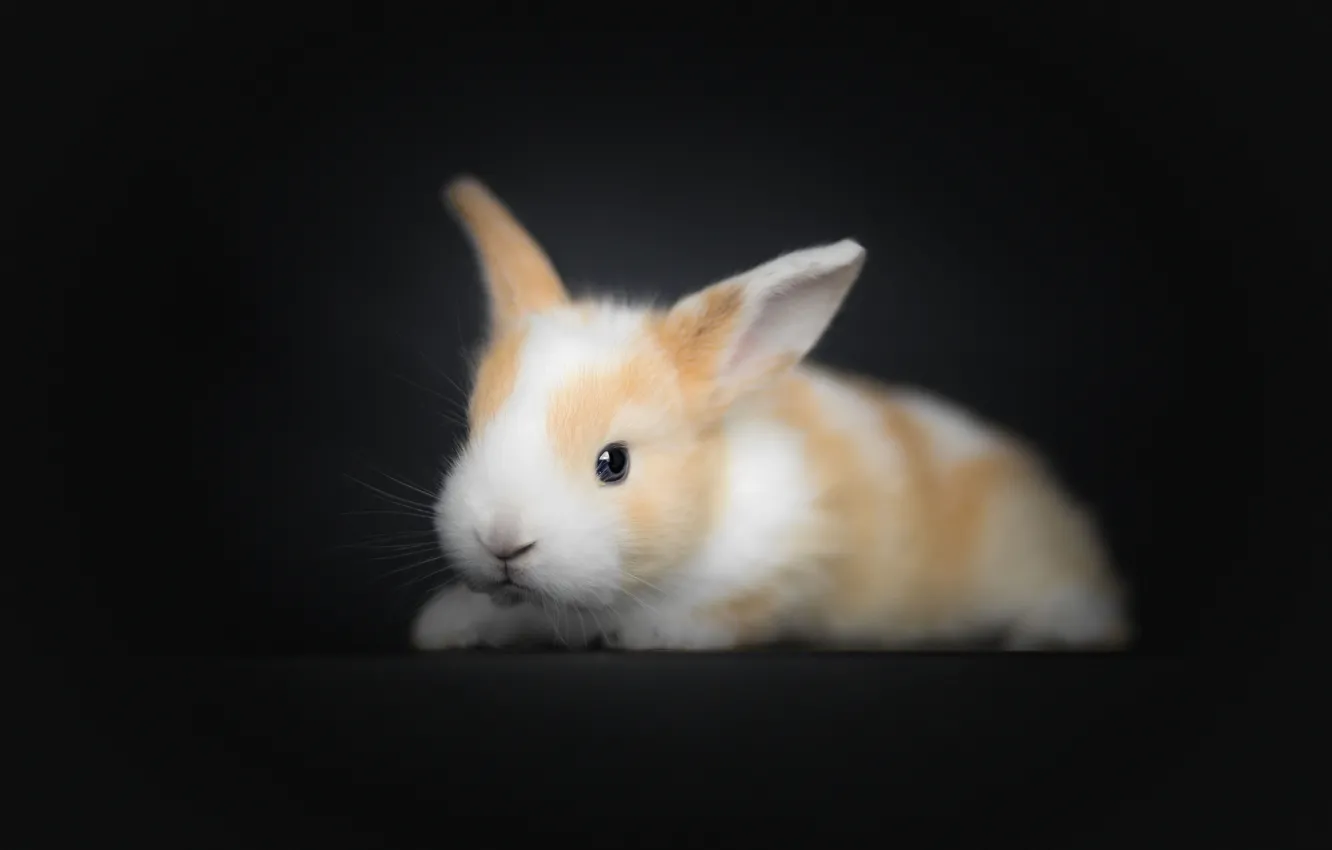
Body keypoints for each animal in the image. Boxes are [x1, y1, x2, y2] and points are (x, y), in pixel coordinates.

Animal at [409, 175, 1132, 652]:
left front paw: (648, 632)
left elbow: (740, 609)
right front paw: (443, 625)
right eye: (470, 432)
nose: (502, 541)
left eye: (613, 463)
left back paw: (1050, 630)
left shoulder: (790, 561)